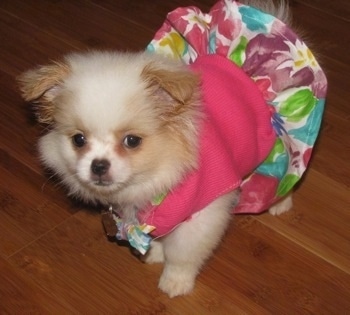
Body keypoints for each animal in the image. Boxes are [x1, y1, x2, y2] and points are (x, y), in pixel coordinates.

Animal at [19, 0, 326, 298]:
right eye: (79, 140)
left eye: (132, 141)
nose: (98, 165)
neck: (161, 171)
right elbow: (157, 237)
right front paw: (154, 254)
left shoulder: (201, 218)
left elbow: (182, 255)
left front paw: (175, 282)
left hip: (279, 151)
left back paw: (280, 204)